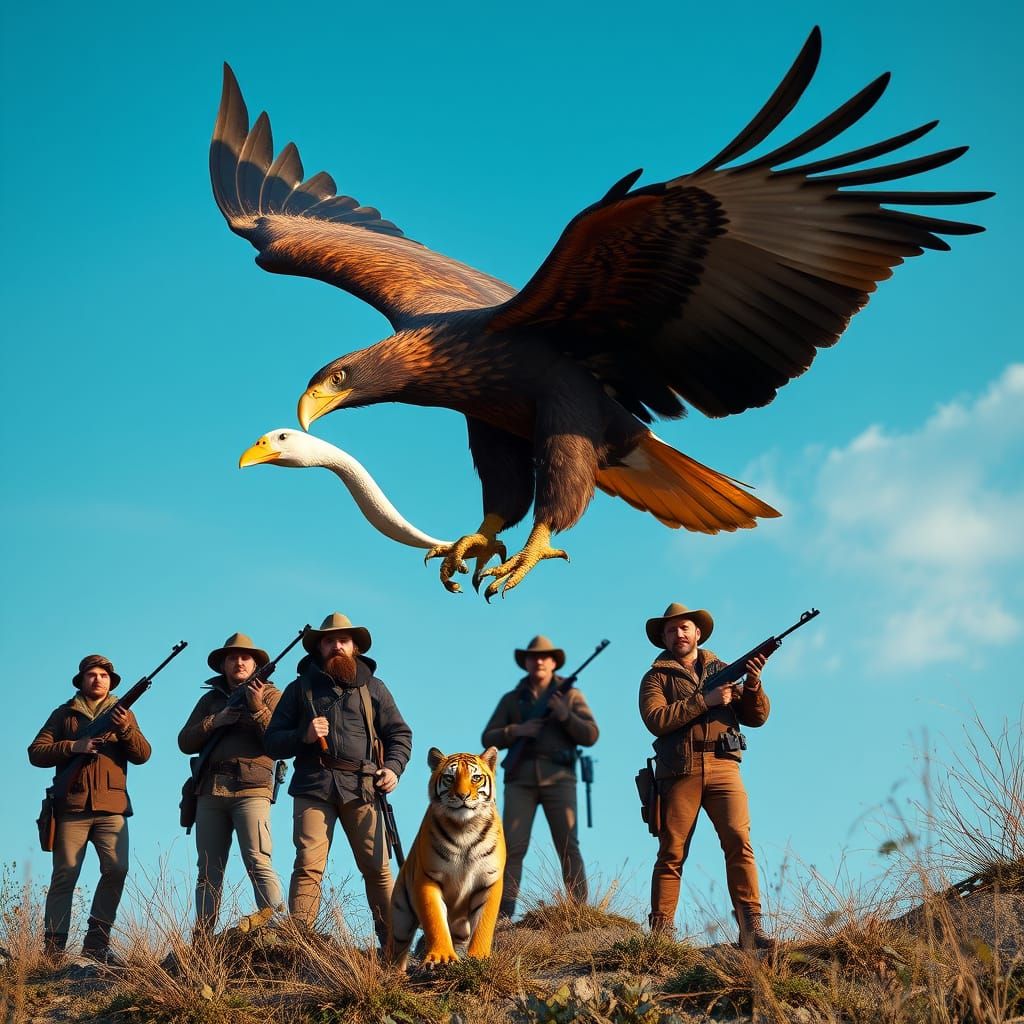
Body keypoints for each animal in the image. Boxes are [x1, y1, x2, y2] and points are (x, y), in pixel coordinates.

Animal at [388, 746, 505, 970]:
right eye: (450, 778)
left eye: (476, 778)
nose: (462, 795)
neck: (465, 828)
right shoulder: (428, 877)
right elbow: (435, 920)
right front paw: (441, 957)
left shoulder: (489, 880)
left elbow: (484, 923)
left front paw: (479, 957)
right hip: (400, 917)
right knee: (396, 952)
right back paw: (395, 974)